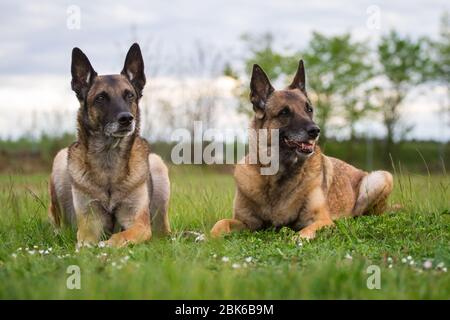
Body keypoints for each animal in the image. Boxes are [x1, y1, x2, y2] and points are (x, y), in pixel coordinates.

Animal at [48, 42, 171, 248]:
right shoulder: (89, 225)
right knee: (58, 224)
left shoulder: (139, 224)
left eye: (129, 96)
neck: (109, 160)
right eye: (101, 98)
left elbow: (120, 236)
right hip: (59, 161)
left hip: (158, 165)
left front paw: (107, 245)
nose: (126, 119)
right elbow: (85, 242)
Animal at [211, 60, 394, 240]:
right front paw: (208, 237)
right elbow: (221, 222)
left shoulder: (322, 221)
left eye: (309, 109)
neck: (276, 173)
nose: (316, 131)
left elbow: (300, 235)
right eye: (284, 112)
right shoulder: (246, 222)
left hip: (381, 178)